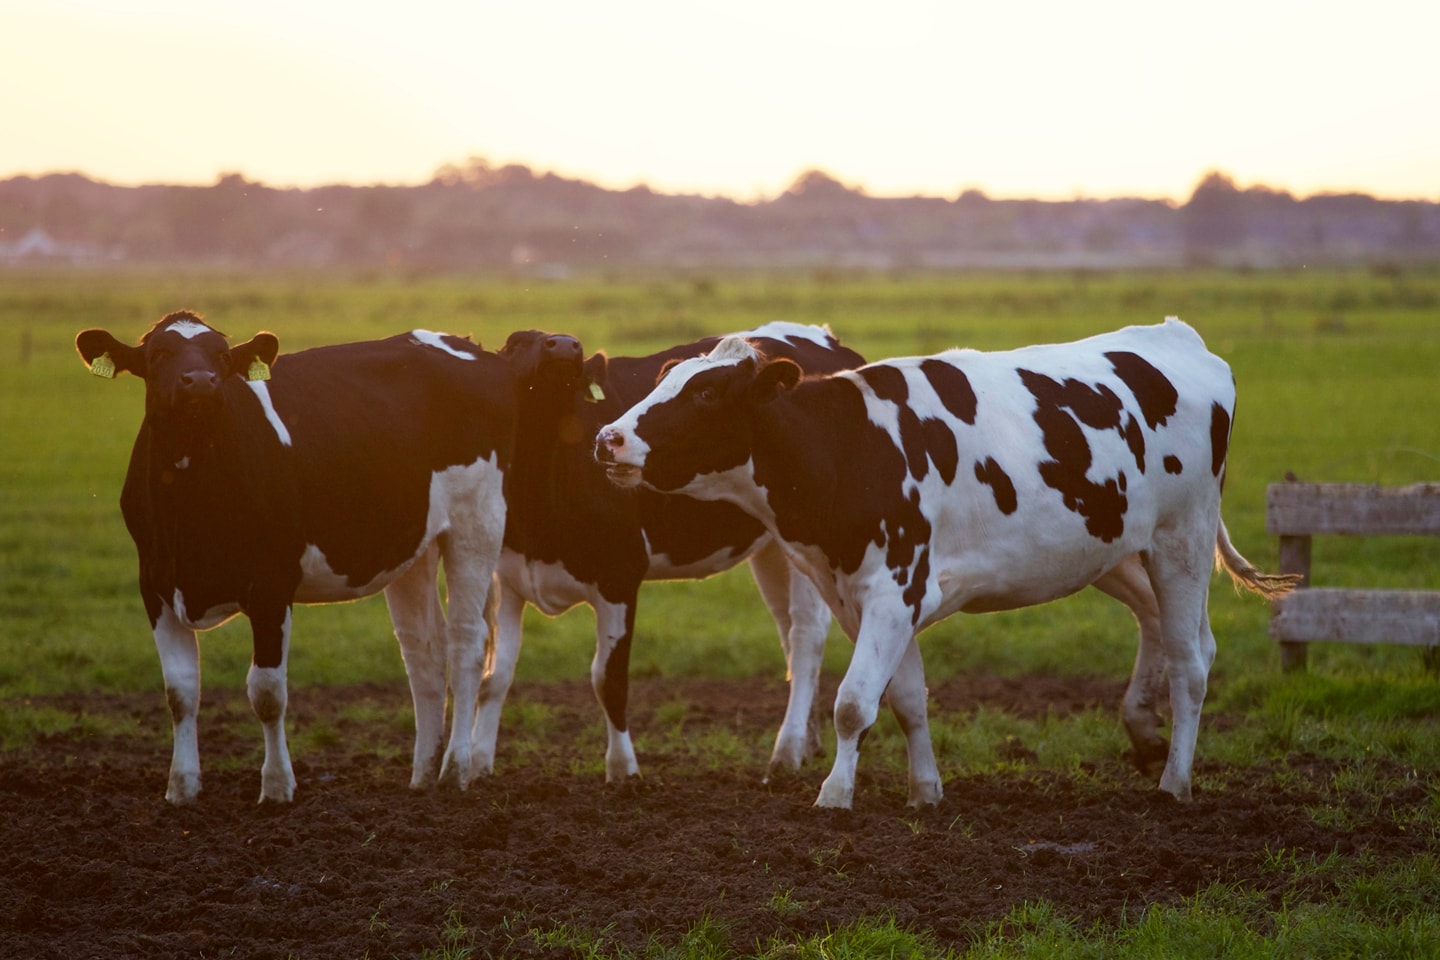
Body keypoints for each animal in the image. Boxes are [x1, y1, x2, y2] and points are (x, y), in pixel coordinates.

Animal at [74, 313, 512, 805]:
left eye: (221, 356)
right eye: (158, 355)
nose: (201, 382)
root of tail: (465, 344)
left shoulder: (271, 586)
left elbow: (266, 692)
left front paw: (277, 787)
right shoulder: (156, 585)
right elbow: (180, 691)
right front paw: (182, 788)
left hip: (477, 523)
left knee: (466, 643)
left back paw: (455, 770)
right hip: (414, 545)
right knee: (424, 651)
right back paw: (421, 774)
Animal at [478, 322, 864, 782]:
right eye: (516, 343)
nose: (565, 345)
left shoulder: (620, 574)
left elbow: (608, 679)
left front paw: (623, 771)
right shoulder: (508, 577)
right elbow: (495, 676)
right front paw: (469, 766)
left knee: (806, 635)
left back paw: (786, 752)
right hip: (774, 548)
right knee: (787, 630)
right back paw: (807, 741)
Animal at [596, 319, 1307, 805]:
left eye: (708, 394)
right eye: (664, 381)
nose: (608, 438)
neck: (849, 448)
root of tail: (1178, 337)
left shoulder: (894, 589)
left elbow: (853, 703)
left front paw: (834, 796)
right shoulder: (866, 597)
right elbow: (905, 698)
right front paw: (925, 791)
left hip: (1180, 539)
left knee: (1192, 662)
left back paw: (1175, 782)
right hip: (1111, 550)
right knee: (1163, 628)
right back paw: (1146, 736)